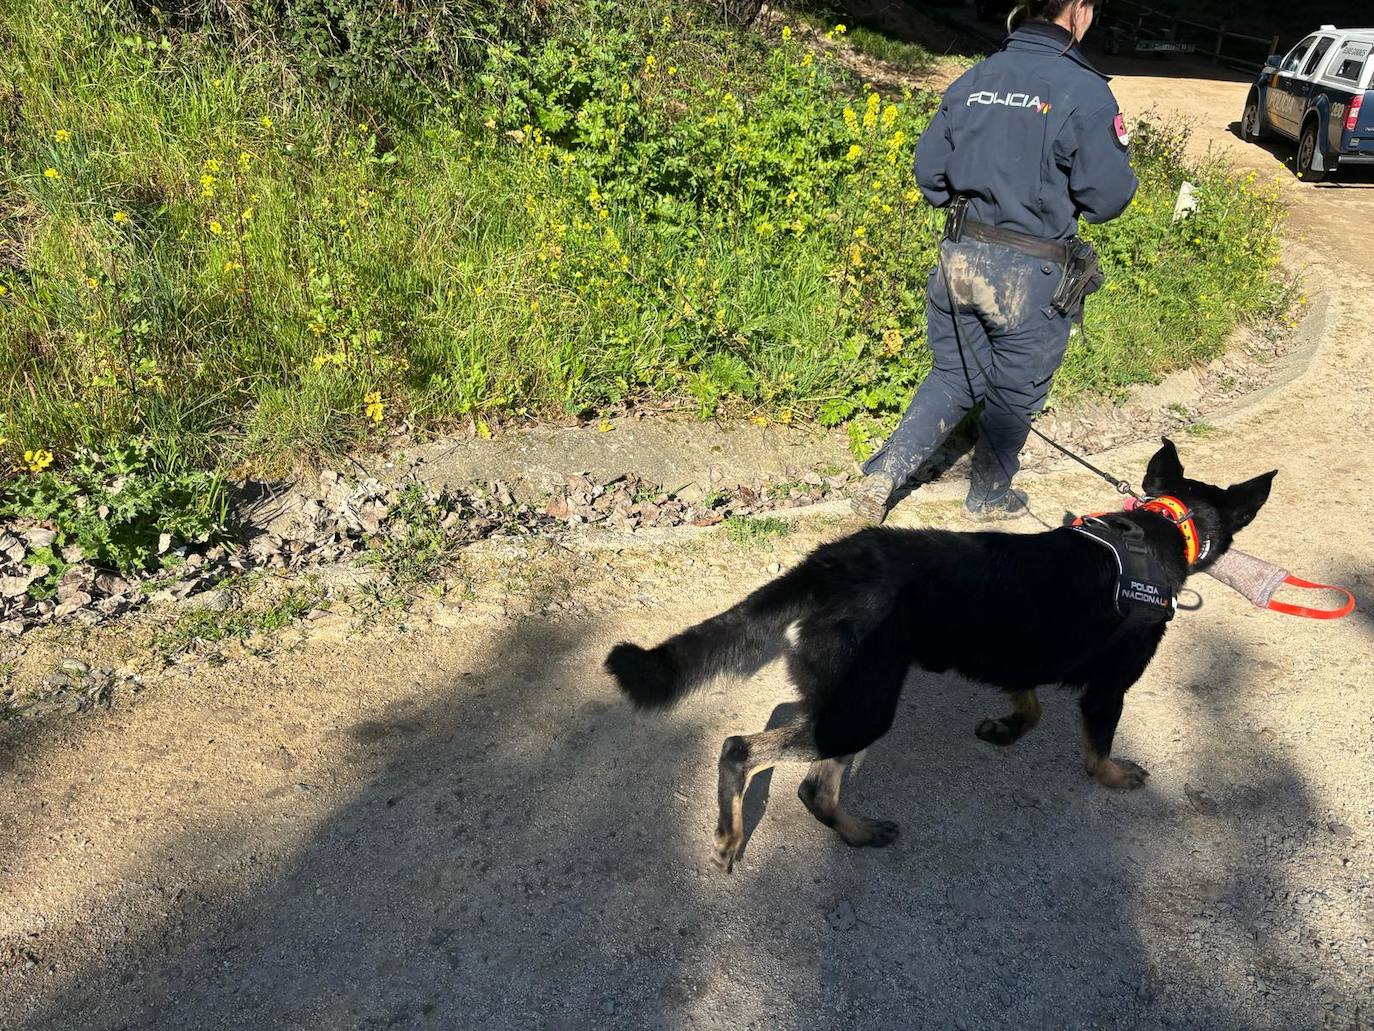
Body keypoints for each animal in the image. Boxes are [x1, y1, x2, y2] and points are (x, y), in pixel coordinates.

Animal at [607, 439, 1269, 874]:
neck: (1162, 529)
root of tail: (830, 562)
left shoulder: (1019, 658)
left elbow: (1029, 706)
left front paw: (1006, 729)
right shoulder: (1108, 689)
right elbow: (1097, 748)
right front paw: (1112, 775)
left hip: (852, 697)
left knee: (813, 784)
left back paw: (854, 833)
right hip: (866, 706)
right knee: (747, 753)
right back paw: (752, 829)